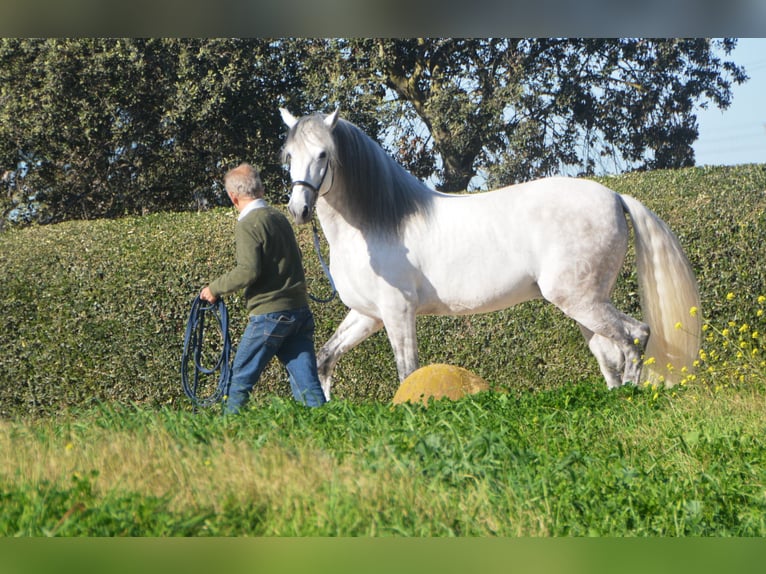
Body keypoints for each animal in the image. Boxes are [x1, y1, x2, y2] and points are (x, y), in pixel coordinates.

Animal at [280, 109, 704, 400]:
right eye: (289, 156)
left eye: (323, 154)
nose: (299, 210)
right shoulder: (369, 314)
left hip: (580, 300)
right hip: (587, 302)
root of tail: (615, 196)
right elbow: (324, 358)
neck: (376, 224)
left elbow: (407, 371)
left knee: (635, 337)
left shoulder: (398, 310)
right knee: (609, 352)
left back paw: (632, 396)